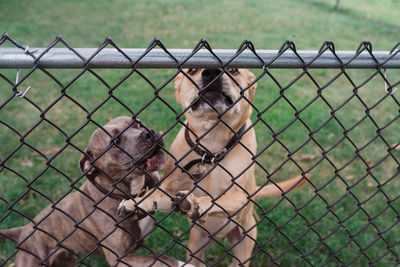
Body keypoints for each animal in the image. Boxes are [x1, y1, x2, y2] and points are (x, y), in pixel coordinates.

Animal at [0, 117, 191, 267]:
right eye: (115, 141)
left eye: (138, 123)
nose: (148, 133)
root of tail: (24, 230)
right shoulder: (120, 259)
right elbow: (161, 259)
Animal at [118, 69, 306, 267]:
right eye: (192, 70)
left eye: (234, 70)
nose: (211, 72)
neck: (211, 146)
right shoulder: (169, 186)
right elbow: (154, 194)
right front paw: (136, 203)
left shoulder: (240, 196)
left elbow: (216, 199)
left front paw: (196, 203)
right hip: (195, 247)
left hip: (243, 244)